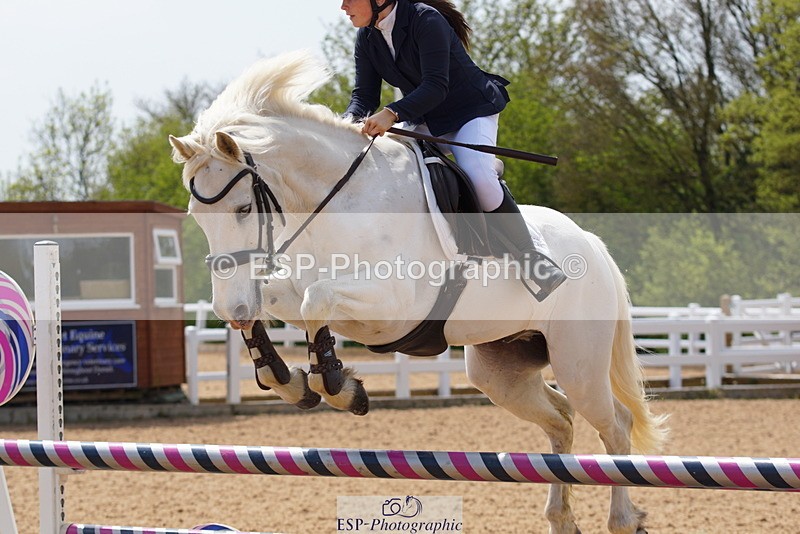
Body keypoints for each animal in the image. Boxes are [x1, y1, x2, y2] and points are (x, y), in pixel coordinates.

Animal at [169, 51, 668, 534]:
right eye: (196, 215)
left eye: (243, 208)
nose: (229, 305)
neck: (340, 201)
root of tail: (593, 244)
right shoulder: (294, 289)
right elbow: (281, 306)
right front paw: (288, 379)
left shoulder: (393, 307)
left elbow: (318, 301)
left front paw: (339, 387)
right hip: (501, 371)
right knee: (561, 419)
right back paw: (561, 518)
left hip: (578, 362)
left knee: (614, 425)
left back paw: (624, 520)